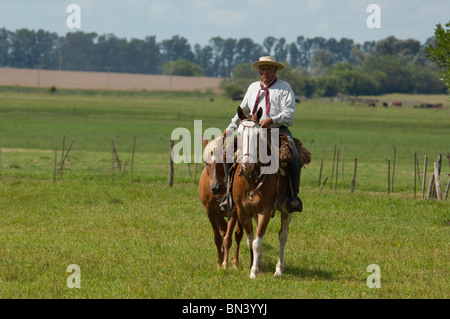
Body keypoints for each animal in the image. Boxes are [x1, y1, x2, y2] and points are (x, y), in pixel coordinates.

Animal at [199, 135, 243, 270]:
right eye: (206, 162)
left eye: (221, 161)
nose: (215, 188)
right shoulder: (211, 213)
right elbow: (218, 237)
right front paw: (219, 261)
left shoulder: (234, 212)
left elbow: (228, 238)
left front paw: (225, 263)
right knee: (223, 230)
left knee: (238, 235)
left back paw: (235, 262)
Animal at [232, 107, 292, 278]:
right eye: (239, 134)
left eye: (258, 135)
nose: (247, 164)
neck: (251, 179)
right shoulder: (243, 212)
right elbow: (250, 240)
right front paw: (258, 264)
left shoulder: (265, 211)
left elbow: (257, 242)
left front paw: (254, 272)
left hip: (286, 211)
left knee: (282, 236)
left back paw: (279, 269)